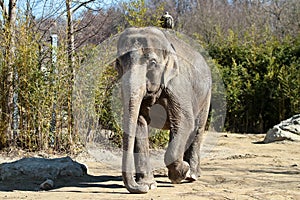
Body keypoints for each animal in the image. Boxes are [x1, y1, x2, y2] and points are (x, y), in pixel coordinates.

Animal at [116, 27, 212, 193]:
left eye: (153, 63)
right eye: (118, 63)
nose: (140, 188)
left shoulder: (178, 85)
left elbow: (185, 121)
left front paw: (182, 172)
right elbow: (140, 122)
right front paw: (149, 185)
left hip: (206, 95)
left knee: (197, 128)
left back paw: (192, 175)